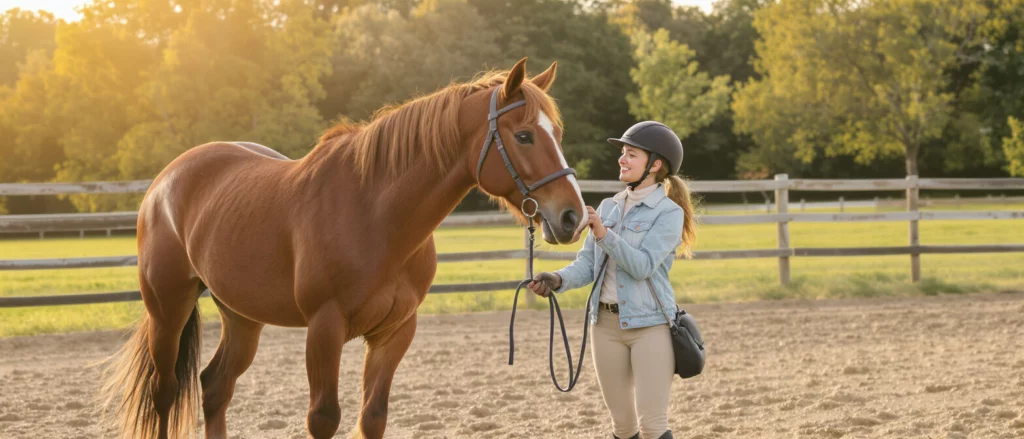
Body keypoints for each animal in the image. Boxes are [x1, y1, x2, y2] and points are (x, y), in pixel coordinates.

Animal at [101, 58, 587, 439]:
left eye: (558, 132)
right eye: (523, 136)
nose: (572, 217)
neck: (375, 216)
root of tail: (167, 179)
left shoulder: (396, 332)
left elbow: (372, 417)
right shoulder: (324, 327)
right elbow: (324, 418)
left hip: (241, 316)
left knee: (215, 387)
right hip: (168, 309)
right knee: (165, 394)